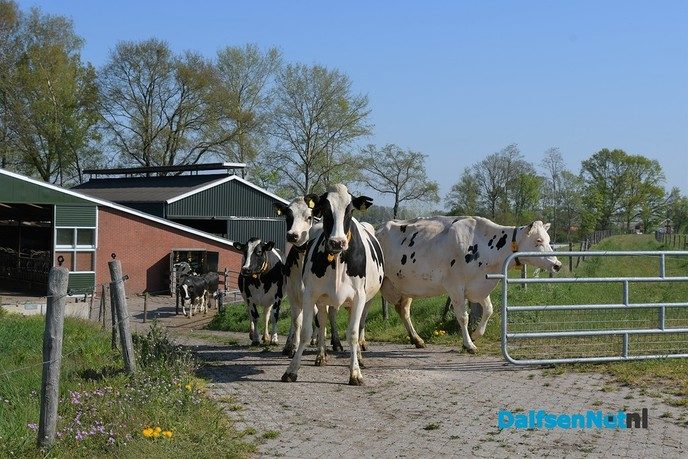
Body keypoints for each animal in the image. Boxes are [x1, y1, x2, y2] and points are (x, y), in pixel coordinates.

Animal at [274, 197, 344, 357]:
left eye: (309, 217)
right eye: (288, 216)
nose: (292, 235)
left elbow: (320, 319)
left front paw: (321, 349)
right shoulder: (293, 294)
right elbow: (296, 321)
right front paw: (293, 347)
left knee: (331, 315)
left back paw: (335, 342)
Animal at [281, 184, 384, 386]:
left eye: (350, 210)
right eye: (325, 210)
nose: (337, 242)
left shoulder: (359, 297)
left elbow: (352, 334)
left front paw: (355, 373)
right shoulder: (310, 294)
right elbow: (306, 331)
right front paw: (291, 370)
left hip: (367, 300)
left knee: (359, 325)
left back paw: (360, 357)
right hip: (323, 300)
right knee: (322, 321)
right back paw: (321, 355)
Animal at [376, 216, 561, 353]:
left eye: (548, 240)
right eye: (538, 240)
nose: (557, 264)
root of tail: (377, 228)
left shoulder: (479, 286)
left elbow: (489, 310)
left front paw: (475, 335)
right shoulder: (455, 286)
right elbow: (463, 317)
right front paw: (469, 344)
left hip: (404, 285)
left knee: (403, 310)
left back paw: (418, 340)